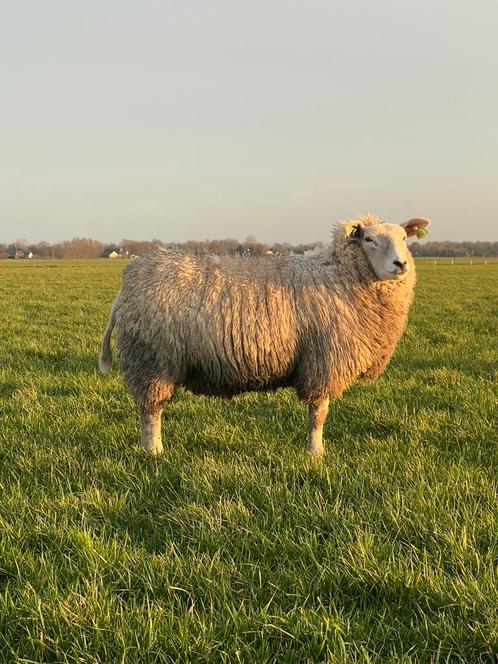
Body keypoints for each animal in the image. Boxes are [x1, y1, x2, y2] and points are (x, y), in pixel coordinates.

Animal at [99, 215, 430, 454]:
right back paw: (153, 451)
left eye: (404, 238)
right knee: (149, 411)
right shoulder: (321, 361)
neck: (338, 274)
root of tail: (129, 279)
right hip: (153, 360)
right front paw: (315, 453)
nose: (400, 264)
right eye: (369, 240)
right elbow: (318, 414)